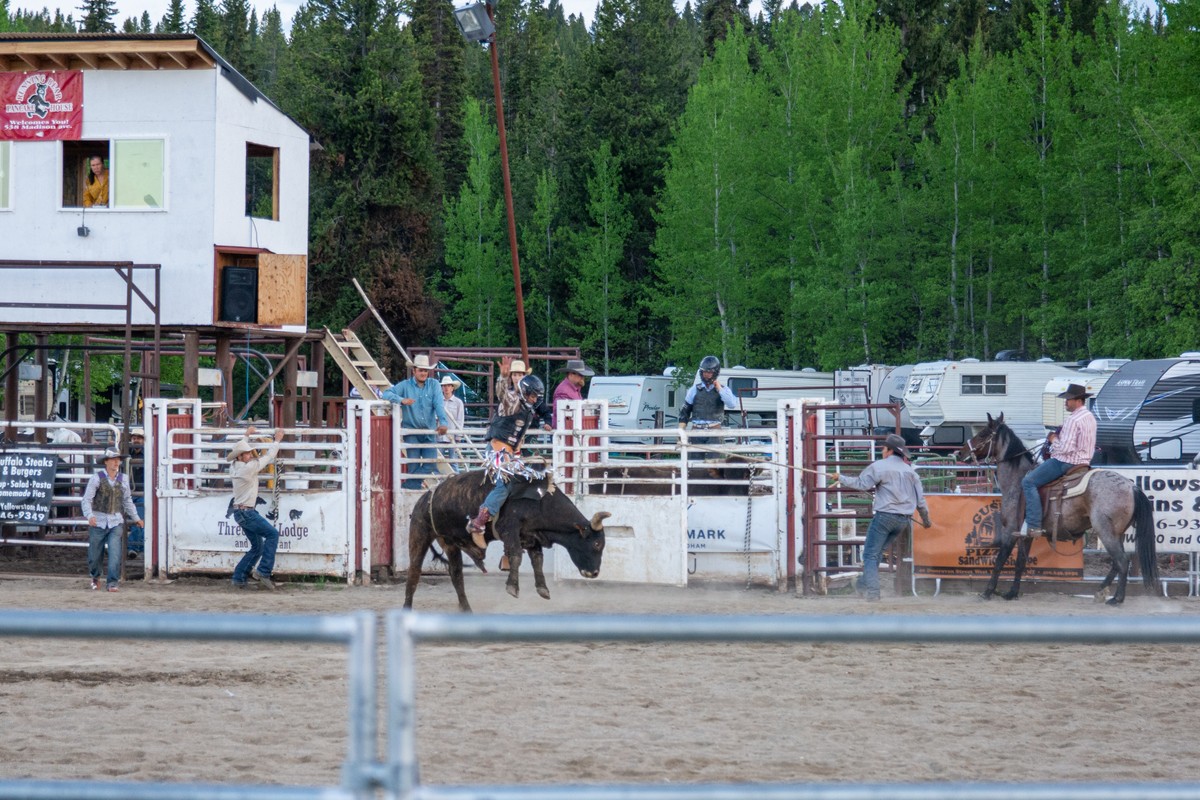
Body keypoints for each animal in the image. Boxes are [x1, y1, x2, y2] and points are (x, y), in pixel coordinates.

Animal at [403, 470, 609, 614]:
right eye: (596, 544)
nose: (594, 573)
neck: (540, 500)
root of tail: (426, 496)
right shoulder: (509, 529)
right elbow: (516, 555)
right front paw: (512, 586)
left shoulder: (531, 537)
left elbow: (537, 560)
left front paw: (542, 588)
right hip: (419, 534)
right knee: (414, 573)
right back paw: (406, 608)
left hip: (450, 543)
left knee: (456, 575)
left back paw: (466, 608)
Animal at [955, 417, 1152, 604]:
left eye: (983, 433)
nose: (960, 452)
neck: (1017, 481)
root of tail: (1131, 486)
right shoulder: (1026, 533)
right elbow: (1020, 562)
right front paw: (1012, 593)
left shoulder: (1010, 529)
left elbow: (1000, 560)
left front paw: (988, 592)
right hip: (1117, 533)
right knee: (1117, 563)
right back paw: (1101, 592)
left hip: (1105, 530)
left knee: (1122, 561)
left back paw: (1117, 598)